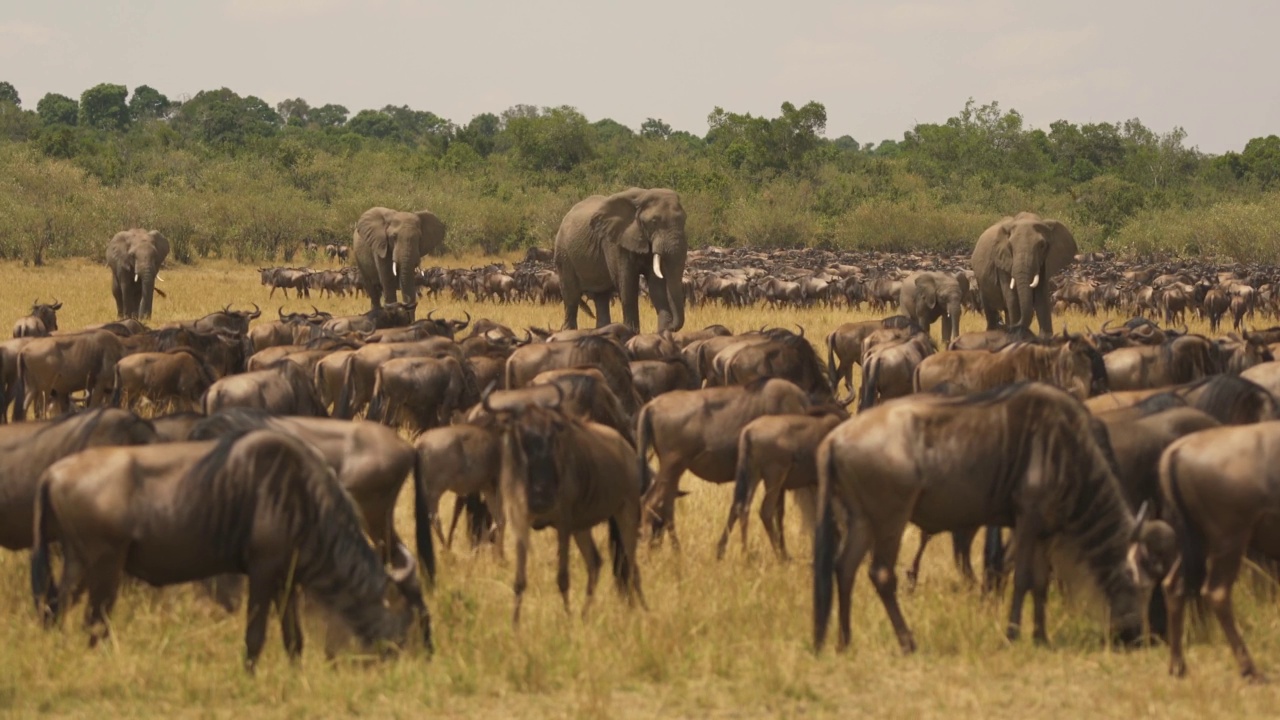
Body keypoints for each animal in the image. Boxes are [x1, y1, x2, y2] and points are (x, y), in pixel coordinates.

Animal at [552, 184, 686, 330]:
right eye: (654, 221)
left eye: (684, 220)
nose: (671, 326)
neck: (643, 196)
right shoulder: (614, 241)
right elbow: (627, 285)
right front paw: (631, 332)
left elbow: (656, 287)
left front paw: (663, 332)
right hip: (564, 254)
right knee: (571, 296)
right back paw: (569, 330)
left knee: (601, 297)